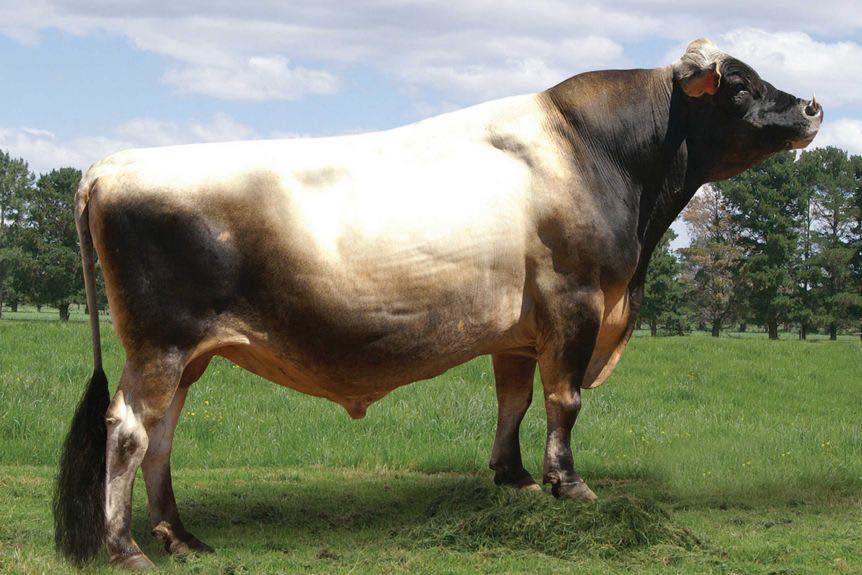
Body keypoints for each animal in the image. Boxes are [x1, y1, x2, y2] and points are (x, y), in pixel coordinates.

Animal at [54, 38, 822, 569]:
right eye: (740, 84)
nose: (813, 106)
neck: (603, 156)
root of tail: (112, 165)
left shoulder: (521, 329)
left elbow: (514, 399)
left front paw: (512, 478)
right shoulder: (573, 302)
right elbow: (564, 399)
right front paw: (568, 486)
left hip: (189, 354)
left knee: (163, 433)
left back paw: (181, 535)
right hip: (159, 344)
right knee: (129, 428)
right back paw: (126, 547)